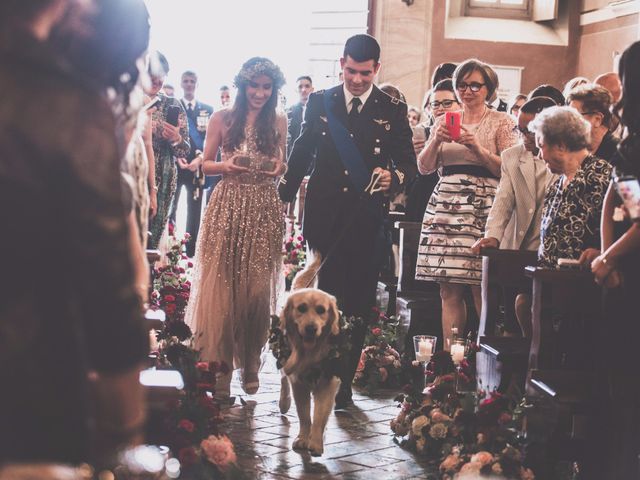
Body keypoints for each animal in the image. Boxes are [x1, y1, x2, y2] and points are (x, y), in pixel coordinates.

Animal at [278, 286, 342, 456]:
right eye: (301, 308)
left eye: (321, 310)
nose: (311, 329)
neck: (310, 353)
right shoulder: (298, 384)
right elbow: (304, 415)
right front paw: (303, 438)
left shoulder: (328, 383)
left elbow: (319, 415)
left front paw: (316, 442)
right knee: (283, 380)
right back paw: (284, 402)